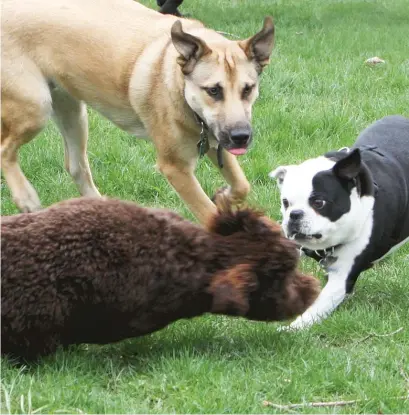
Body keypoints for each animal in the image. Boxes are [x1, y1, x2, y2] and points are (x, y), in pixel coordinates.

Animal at [1, 0, 274, 224]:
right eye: (214, 90)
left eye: (248, 89)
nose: (241, 137)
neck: (176, 79)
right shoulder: (176, 167)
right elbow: (208, 213)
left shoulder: (216, 140)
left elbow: (242, 184)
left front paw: (225, 197)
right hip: (36, 108)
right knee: (5, 150)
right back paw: (25, 197)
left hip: (72, 110)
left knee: (75, 166)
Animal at [270, 115, 408, 330]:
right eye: (285, 202)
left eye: (319, 202)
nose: (294, 215)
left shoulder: (341, 277)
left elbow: (315, 309)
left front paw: (290, 329)